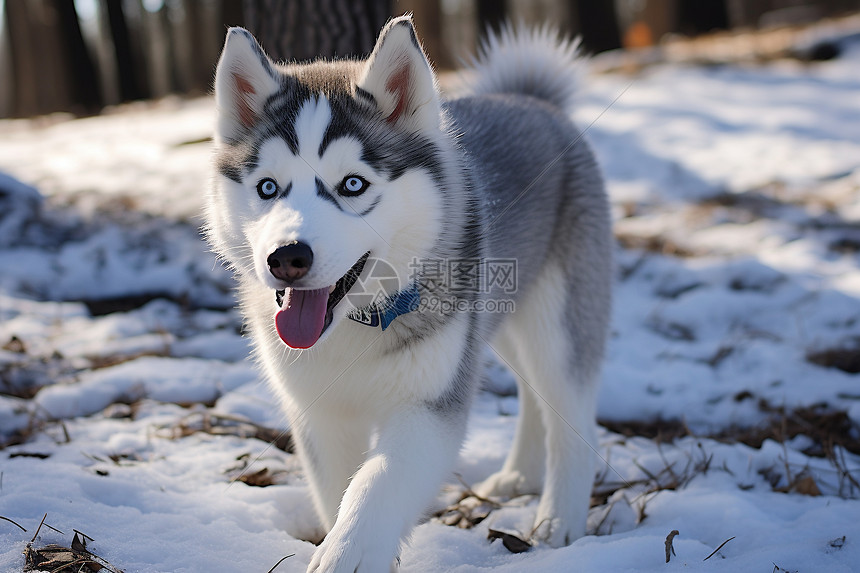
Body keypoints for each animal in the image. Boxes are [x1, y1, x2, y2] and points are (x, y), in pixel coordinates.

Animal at [207, 14, 612, 572]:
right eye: (268, 188)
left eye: (353, 184)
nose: (286, 258)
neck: (353, 324)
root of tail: (531, 101)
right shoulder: (321, 414)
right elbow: (336, 488)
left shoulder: (427, 406)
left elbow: (376, 481)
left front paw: (349, 553)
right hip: (496, 321)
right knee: (535, 393)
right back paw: (519, 476)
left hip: (555, 324)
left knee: (570, 410)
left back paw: (560, 520)